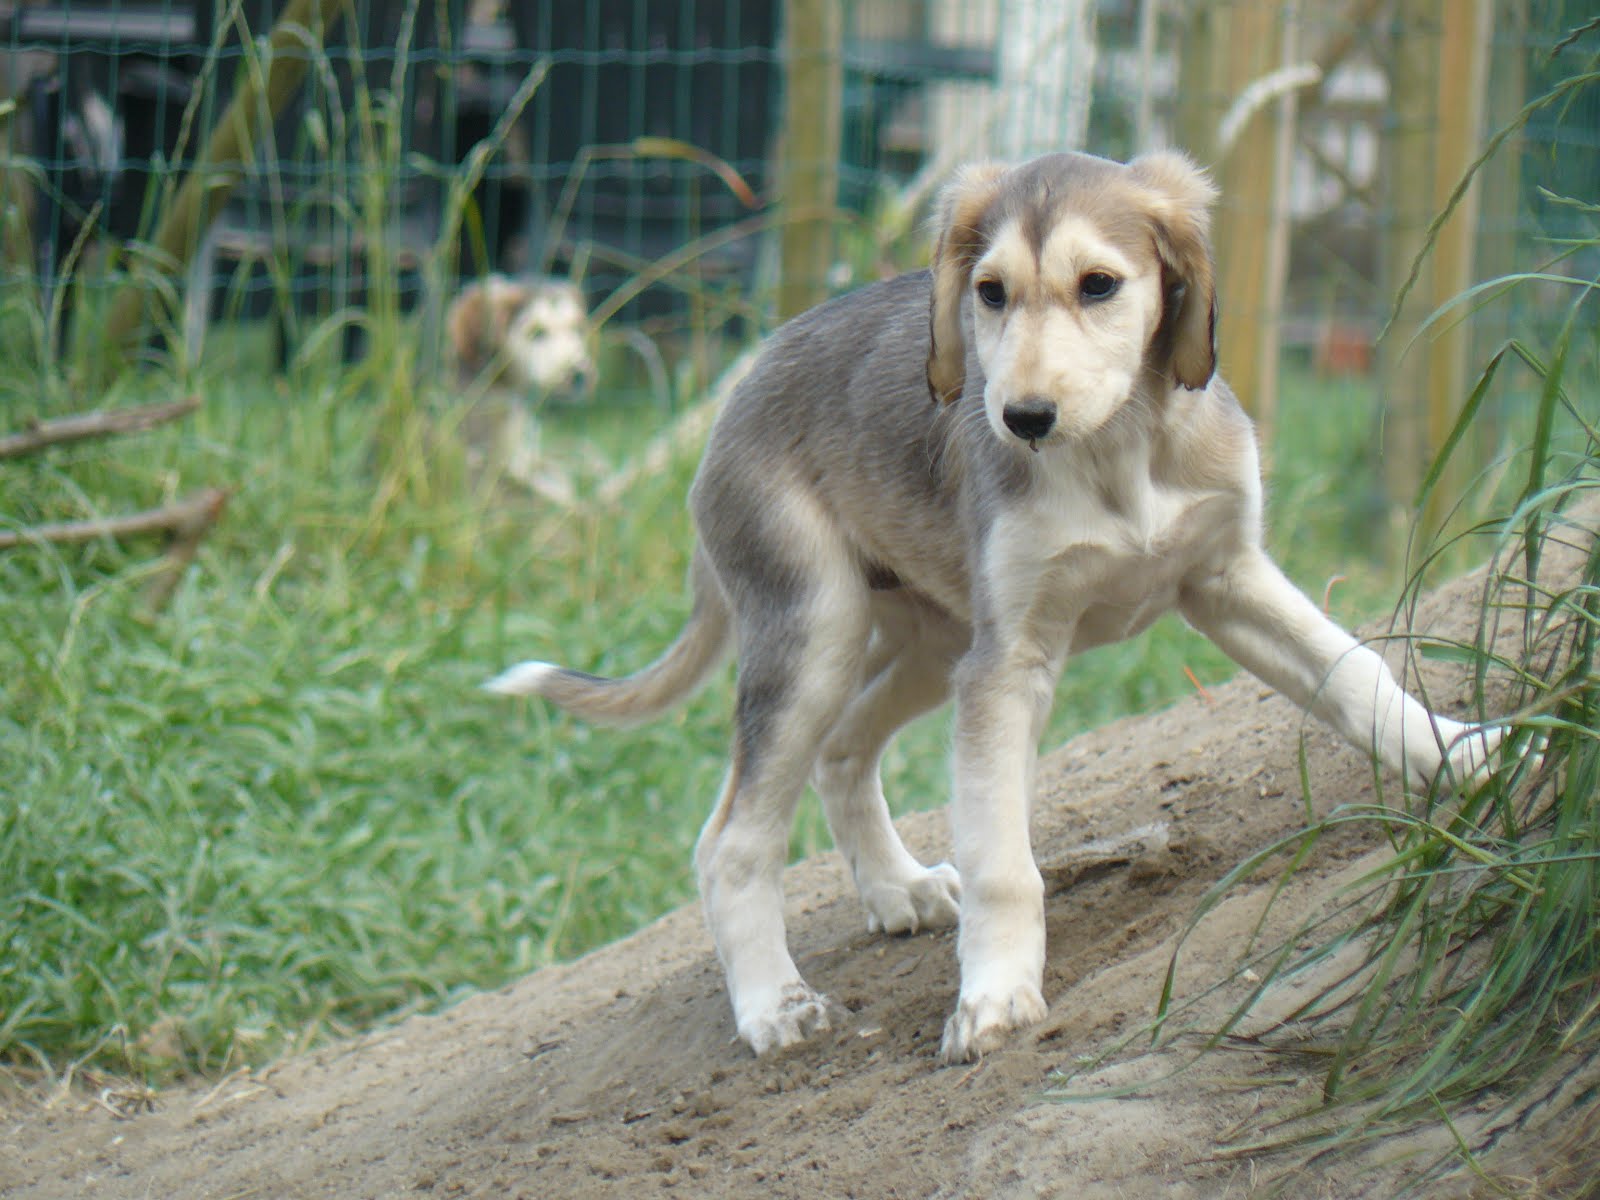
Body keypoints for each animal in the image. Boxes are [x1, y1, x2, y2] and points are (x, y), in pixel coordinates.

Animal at [486, 150, 1497, 1062]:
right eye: (991, 293)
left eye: (1100, 286)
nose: (1021, 419)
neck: (1119, 455)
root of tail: (735, 399)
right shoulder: (1007, 666)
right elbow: (1004, 863)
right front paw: (996, 996)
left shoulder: (1226, 579)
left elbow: (1354, 672)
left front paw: (1462, 756)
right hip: (820, 633)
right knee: (730, 841)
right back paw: (772, 1006)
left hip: (933, 640)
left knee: (842, 749)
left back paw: (896, 891)